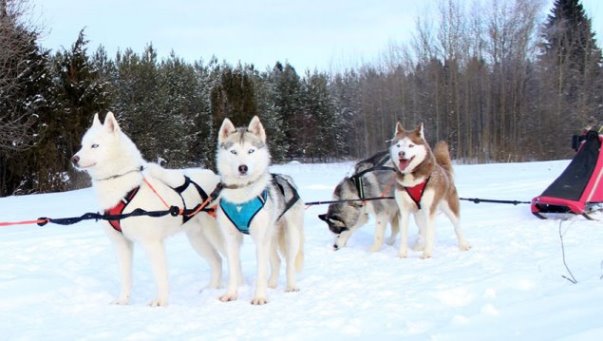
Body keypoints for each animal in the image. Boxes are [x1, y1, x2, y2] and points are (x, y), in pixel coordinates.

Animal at [73, 112, 224, 306]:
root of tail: (217, 178)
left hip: (217, 235)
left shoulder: (153, 244)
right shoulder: (122, 245)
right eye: (82, 145)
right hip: (197, 239)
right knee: (217, 261)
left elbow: (160, 276)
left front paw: (160, 301)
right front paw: (122, 300)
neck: (124, 188)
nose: (74, 159)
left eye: (95, 145)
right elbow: (125, 277)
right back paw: (211, 288)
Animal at [216, 115, 304, 304]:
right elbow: (233, 270)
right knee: (277, 261)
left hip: (290, 236)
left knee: (289, 262)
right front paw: (231, 294)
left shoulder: (259, 238)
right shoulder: (231, 238)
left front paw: (260, 297)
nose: (243, 167)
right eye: (234, 152)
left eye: (251, 151)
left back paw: (291, 286)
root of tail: (287, 179)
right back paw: (272, 284)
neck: (241, 197)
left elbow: (261, 272)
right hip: (270, 237)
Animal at [390, 123, 474, 258]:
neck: (412, 179)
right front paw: (402, 254)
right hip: (418, 214)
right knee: (423, 229)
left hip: (449, 207)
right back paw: (420, 245)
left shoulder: (430, 209)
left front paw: (427, 253)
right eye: (398, 145)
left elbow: (430, 233)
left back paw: (464, 244)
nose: (401, 153)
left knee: (457, 226)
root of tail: (444, 170)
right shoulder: (403, 210)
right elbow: (404, 234)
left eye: (410, 145)